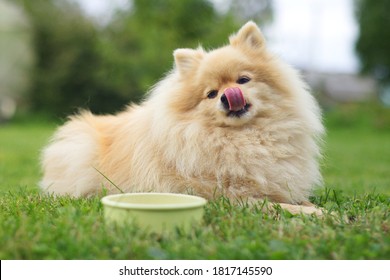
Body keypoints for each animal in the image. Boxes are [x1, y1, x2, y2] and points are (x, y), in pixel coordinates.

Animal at [41, 21, 324, 214]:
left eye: (243, 80)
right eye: (211, 94)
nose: (227, 96)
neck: (244, 137)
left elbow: (297, 200)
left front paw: (319, 209)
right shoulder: (232, 197)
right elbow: (281, 207)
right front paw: (317, 214)